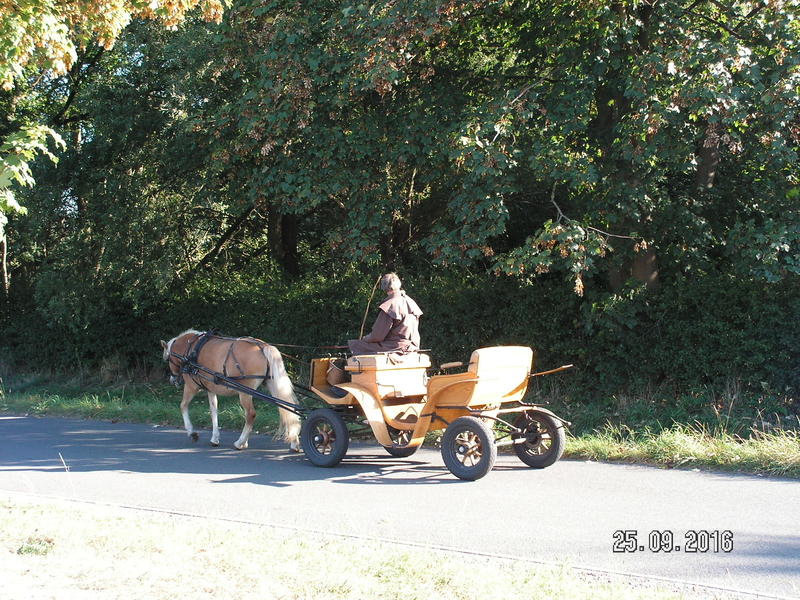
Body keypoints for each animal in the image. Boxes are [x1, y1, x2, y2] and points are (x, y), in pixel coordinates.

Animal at [161, 330, 302, 452]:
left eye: (167, 359)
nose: (173, 380)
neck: (191, 349)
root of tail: (263, 347)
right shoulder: (210, 389)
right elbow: (213, 411)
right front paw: (215, 438)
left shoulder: (191, 386)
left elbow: (183, 406)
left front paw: (192, 433)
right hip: (272, 385)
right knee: (287, 409)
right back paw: (294, 443)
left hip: (245, 392)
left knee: (251, 414)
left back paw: (240, 442)